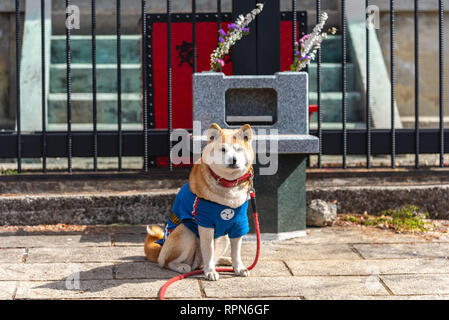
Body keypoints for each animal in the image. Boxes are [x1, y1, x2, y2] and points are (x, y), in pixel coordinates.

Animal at [144, 122, 254, 280]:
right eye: (223, 150)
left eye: (239, 149)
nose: (233, 160)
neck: (228, 185)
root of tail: (161, 248)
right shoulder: (205, 223)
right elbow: (208, 251)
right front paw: (210, 272)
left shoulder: (239, 224)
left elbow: (236, 252)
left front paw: (238, 267)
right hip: (186, 233)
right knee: (167, 262)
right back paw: (183, 266)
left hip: (223, 238)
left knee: (213, 258)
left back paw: (225, 261)